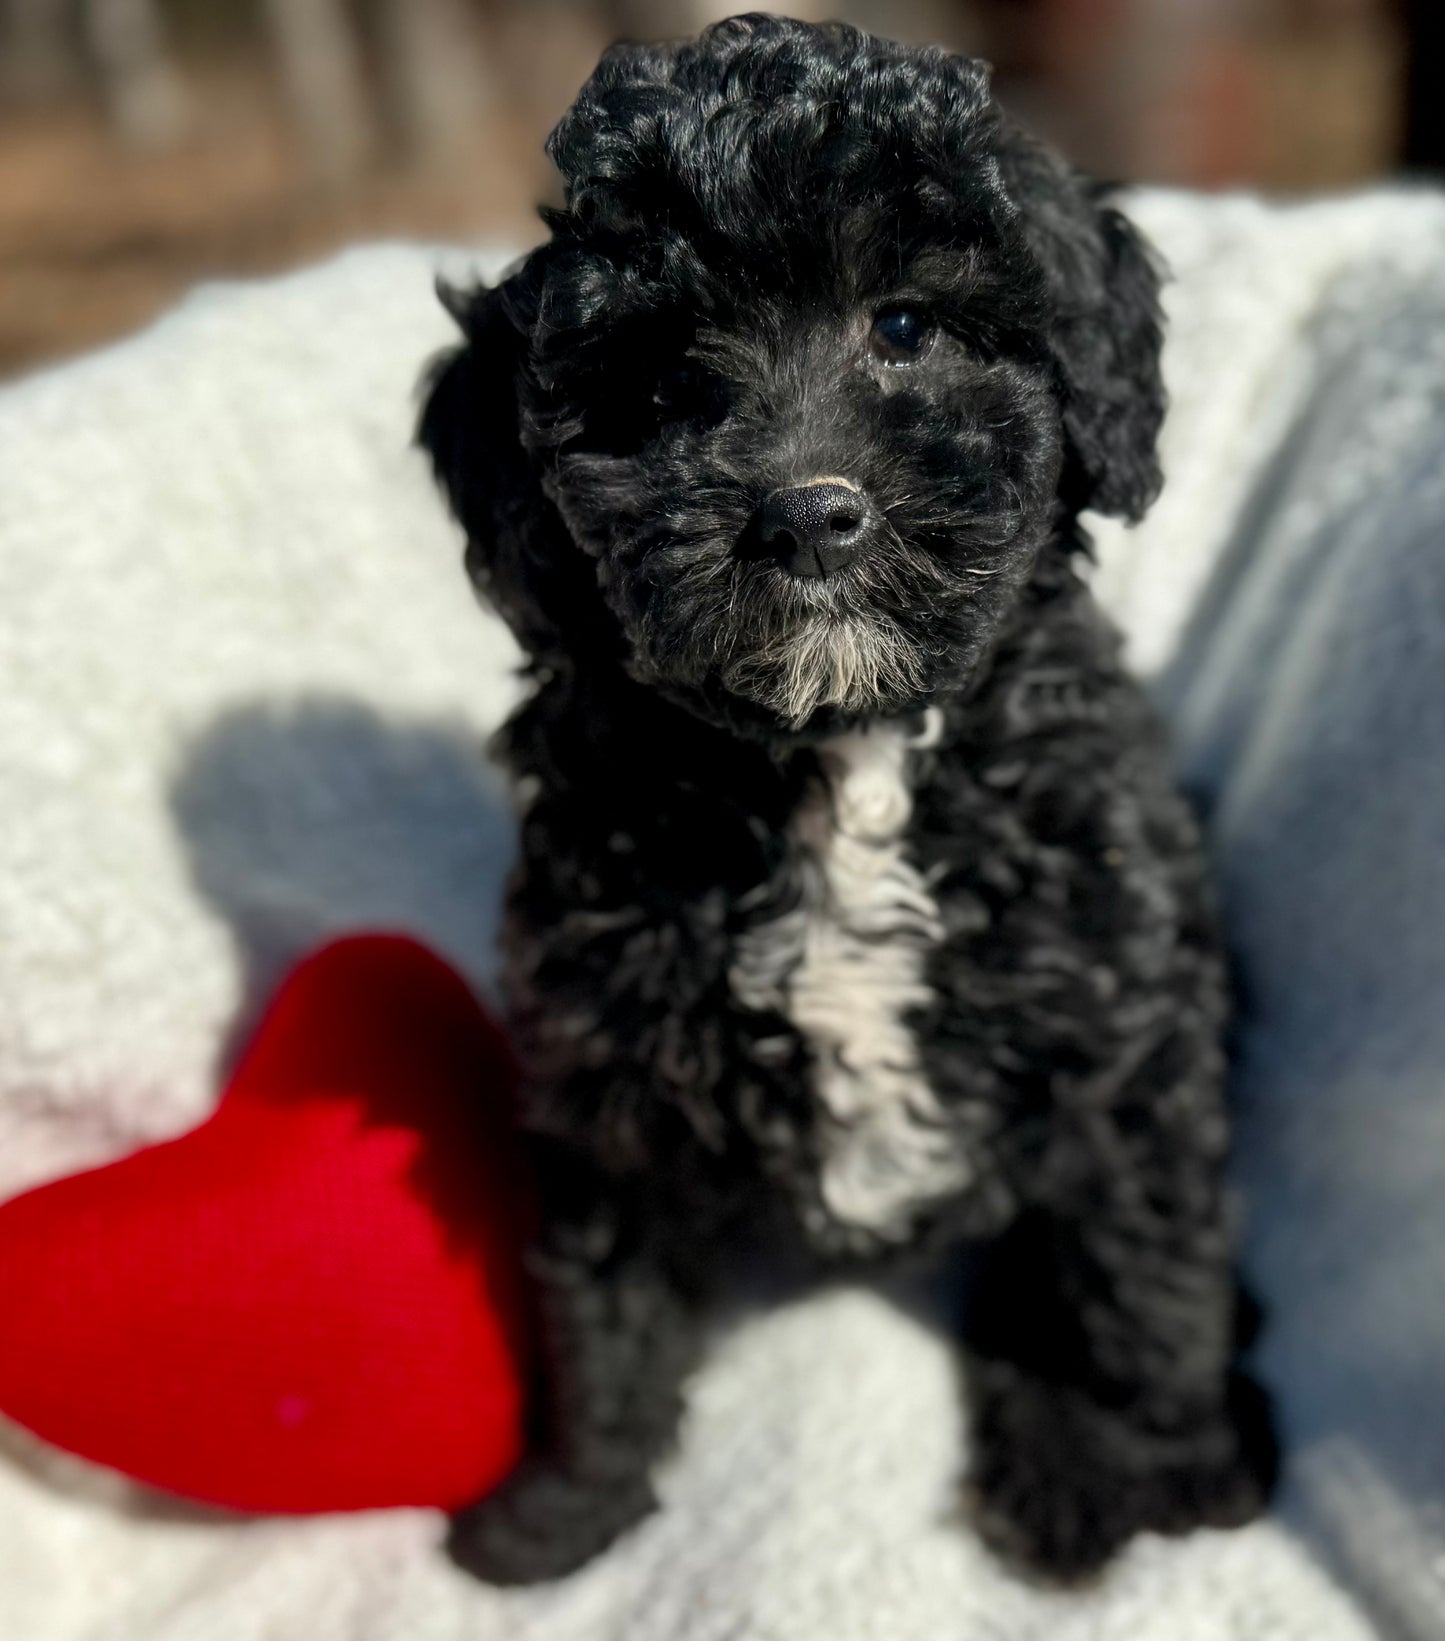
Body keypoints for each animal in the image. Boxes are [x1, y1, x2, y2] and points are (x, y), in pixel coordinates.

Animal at [419, 12, 1272, 1588]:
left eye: (907, 328)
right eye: (659, 391)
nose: (807, 513)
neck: (845, 749)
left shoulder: (1126, 1029)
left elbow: (1139, 1270)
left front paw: (1133, 1471)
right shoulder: (602, 1051)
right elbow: (601, 1294)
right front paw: (571, 1501)